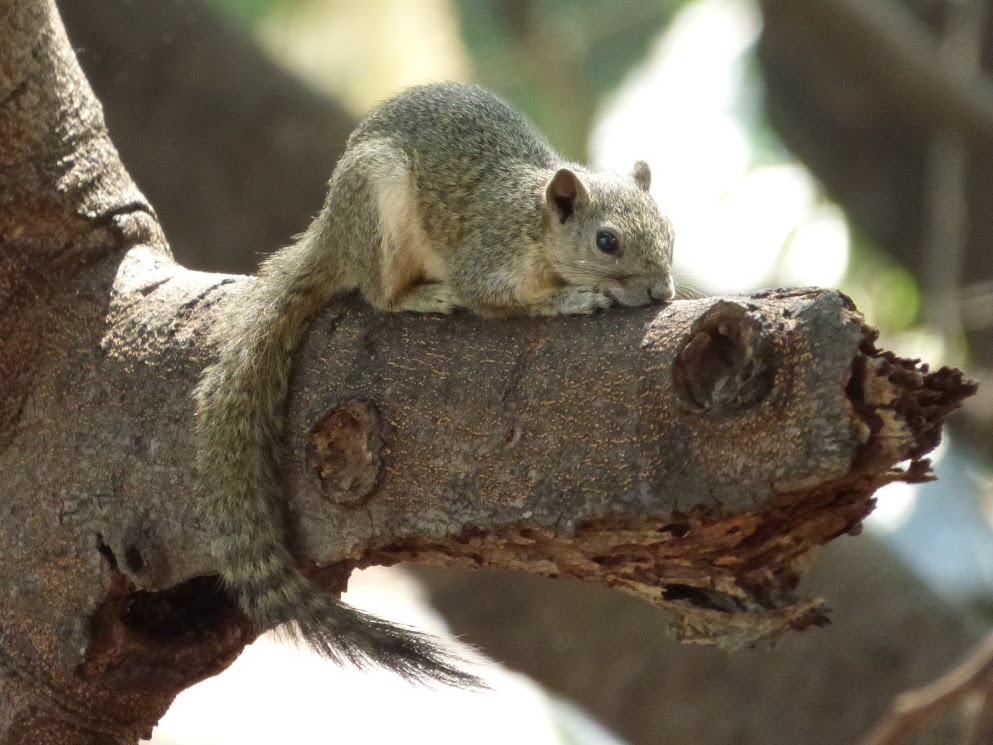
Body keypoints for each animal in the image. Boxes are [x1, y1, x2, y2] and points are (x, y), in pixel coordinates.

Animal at [194, 81, 676, 684]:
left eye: (670, 230)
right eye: (606, 242)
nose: (663, 292)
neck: (535, 224)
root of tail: (331, 231)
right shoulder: (489, 261)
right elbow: (493, 300)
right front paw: (574, 299)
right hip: (379, 202)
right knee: (379, 293)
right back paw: (422, 296)